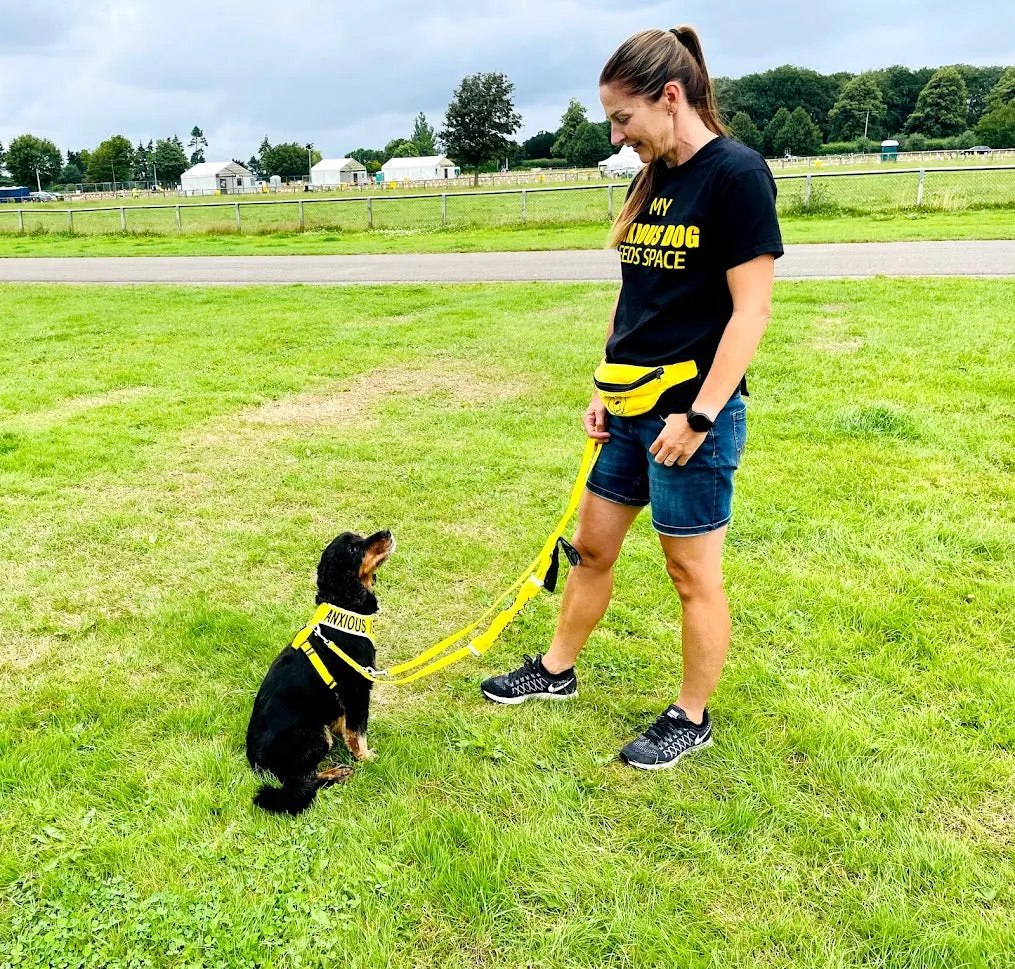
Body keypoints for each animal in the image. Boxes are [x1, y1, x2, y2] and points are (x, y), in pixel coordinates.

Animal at [243, 535, 393, 815]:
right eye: (354, 548)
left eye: (360, 536)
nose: (387, 532)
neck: (343, 607)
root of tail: (255, 763)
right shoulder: (358, 689)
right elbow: (357, 731)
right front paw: (365, 758)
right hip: (316, 737)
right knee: (302, 780)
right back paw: (338, 773)